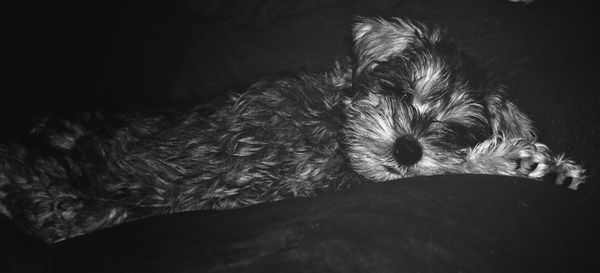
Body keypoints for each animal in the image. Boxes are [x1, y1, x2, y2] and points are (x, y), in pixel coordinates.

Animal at [0, 17, 584, 242]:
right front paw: (518, 159)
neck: (335, 112)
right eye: (402, 91)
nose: (407, 148)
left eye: (455, 126)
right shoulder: (303, 178)